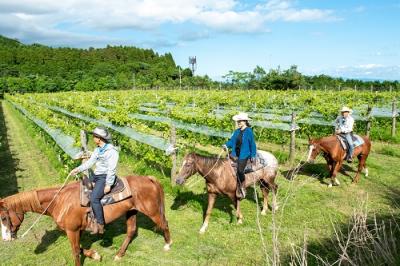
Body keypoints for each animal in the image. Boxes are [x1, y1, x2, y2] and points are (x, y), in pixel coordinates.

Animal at [0, 176, 172, 264]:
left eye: (3, 217)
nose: (6, 239)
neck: (59, 200)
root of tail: (150, 179)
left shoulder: (72, 231)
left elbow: (76, 251)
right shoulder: (77, 230)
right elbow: (80, 248)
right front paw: (95, 255)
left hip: (152, 211)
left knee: (164, 224)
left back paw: (168, 245)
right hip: (131, 212)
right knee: (131, 231)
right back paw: (119, 254)